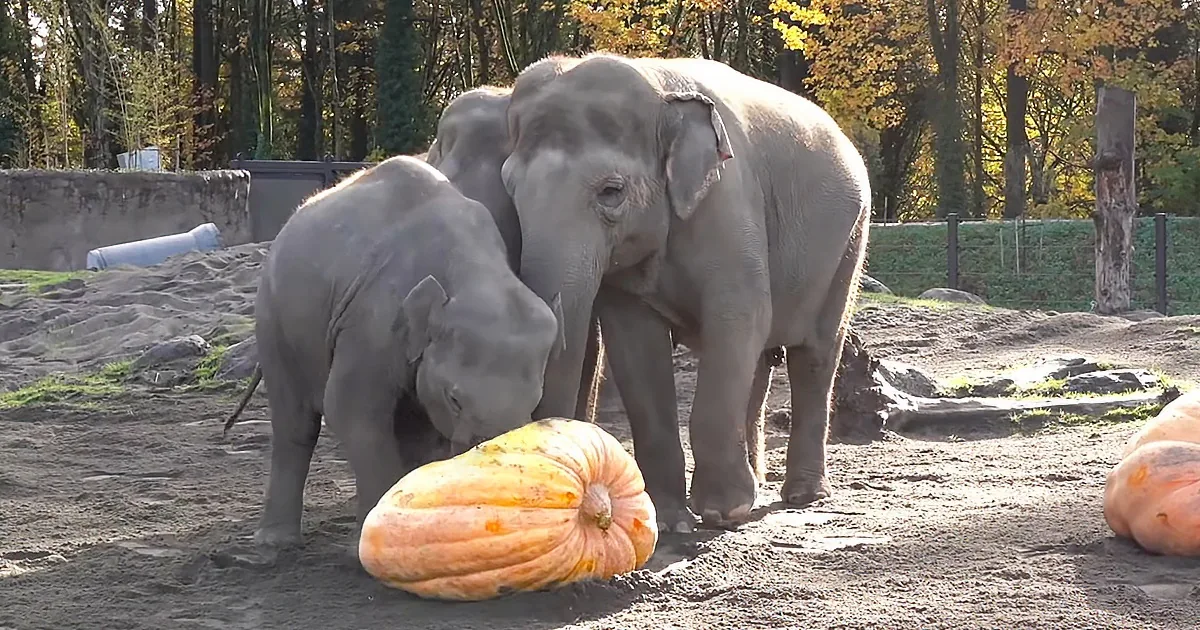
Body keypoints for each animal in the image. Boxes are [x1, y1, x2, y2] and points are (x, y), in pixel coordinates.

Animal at [249, 154, 564, 550]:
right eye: (455, 399)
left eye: (533, 403)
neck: (472, 270)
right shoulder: (371, 319)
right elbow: (350, 410)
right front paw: (363, 551)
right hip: (274, 321)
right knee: (295, 423)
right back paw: (274, 544)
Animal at [500, 53, 871, 533]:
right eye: (509, 190)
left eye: (611, 192)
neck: (656, 89)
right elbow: (636, 347)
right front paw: (670, 517)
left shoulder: (729, 204)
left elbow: (738, 318)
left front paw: (721, 513)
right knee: (759, 363)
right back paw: (757, 484)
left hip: (849, 244)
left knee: (814, 356)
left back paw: (802, 495)